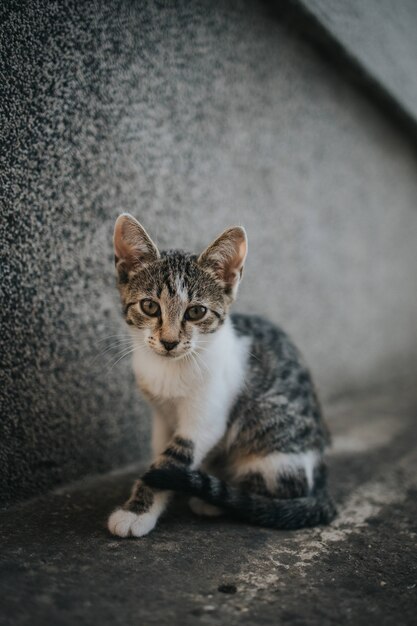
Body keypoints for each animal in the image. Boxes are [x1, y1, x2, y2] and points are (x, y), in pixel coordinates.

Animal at [106, 214, 334, 536]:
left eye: (196, 312)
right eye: (149, 306)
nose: (169, 341)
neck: (170, 369)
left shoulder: (206, 419)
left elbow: (171, 461)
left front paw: (136, 512)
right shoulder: (161, 416)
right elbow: (159, 454)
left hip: (271, 441)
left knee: (283, 486)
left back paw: (220, 499)